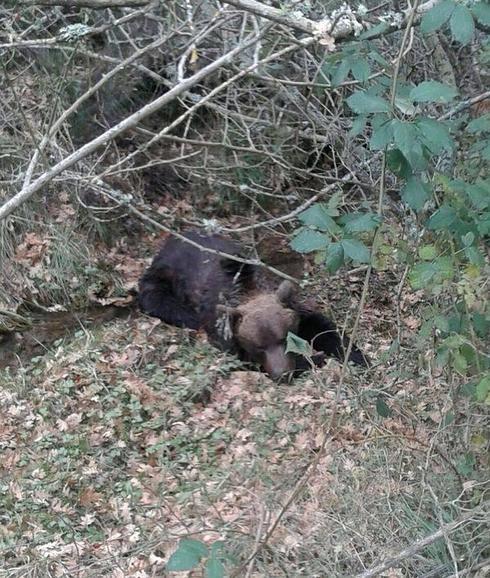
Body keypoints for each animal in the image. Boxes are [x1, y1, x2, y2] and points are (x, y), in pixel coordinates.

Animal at [138, 230, 368, 378]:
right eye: (259, 347)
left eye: (284, 338)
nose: (282, 374)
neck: (249, 289)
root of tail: (171, 239)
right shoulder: (224, 329)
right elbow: (242, 358)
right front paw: (314, 358)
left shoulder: (293, 307)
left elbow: (322, 328)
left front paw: (356, 356)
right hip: (163, 279)